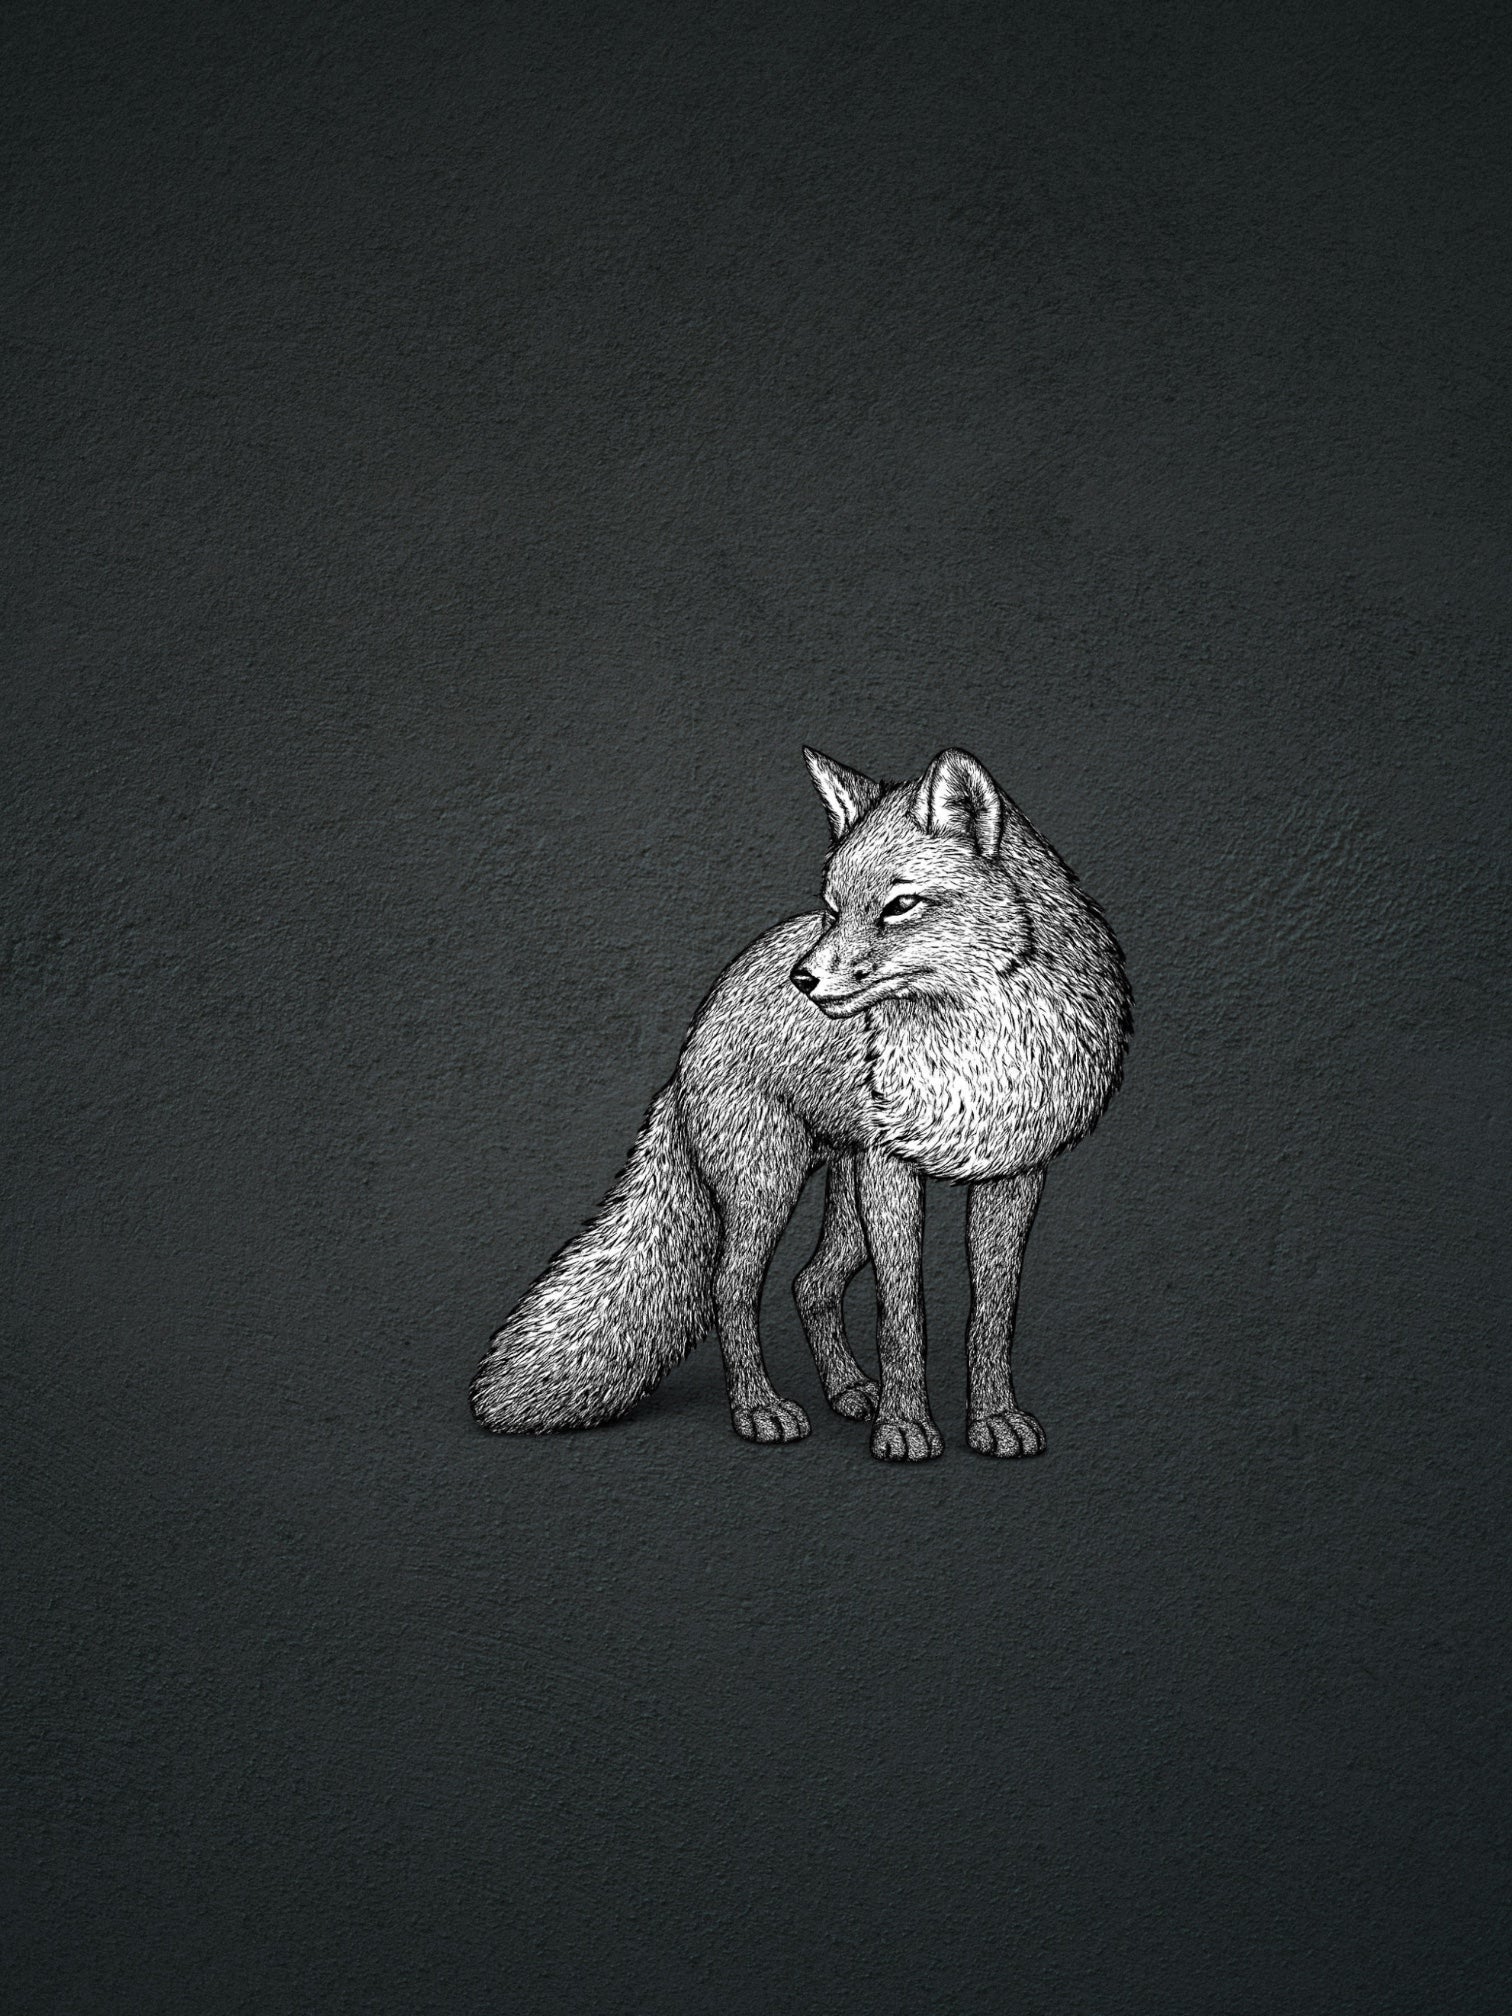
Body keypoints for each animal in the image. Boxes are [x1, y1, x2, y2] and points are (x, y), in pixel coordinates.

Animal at [471, 747, 1130, 1461]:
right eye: (833, 908)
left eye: (900, 905)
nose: (804, 979)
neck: (976, 1048)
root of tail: (692, 1036)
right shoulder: (893, 1169)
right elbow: (903, 1315)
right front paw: (904, 1426)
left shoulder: (1013, 1173)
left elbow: (992, 1313)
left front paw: (992, 1419)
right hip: (770, 1186)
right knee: (732, 1292)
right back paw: (759, 1409)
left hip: (846, 1191)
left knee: (809, 1284)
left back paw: (848, 1391)